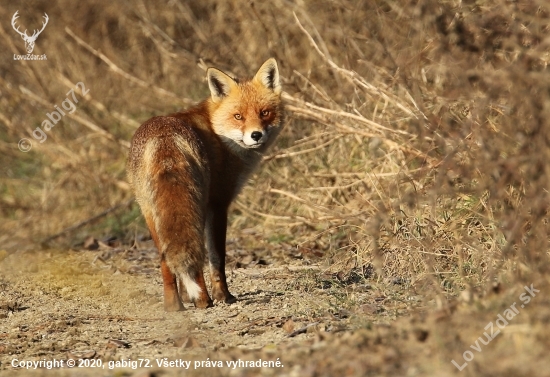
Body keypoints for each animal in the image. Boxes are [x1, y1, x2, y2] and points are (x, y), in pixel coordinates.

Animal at [128, 58, 284, 310]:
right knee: (198, 256)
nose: (256, 135)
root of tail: (164, 138)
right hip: (196, 205)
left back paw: (174, 306)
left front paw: (186, 295)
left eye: (264, 113)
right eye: (238, 116)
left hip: (150, 213)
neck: (216, 131)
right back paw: (203, 300)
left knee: (166, 260)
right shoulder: (219, 204)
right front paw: (224, 296)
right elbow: (217, 258)